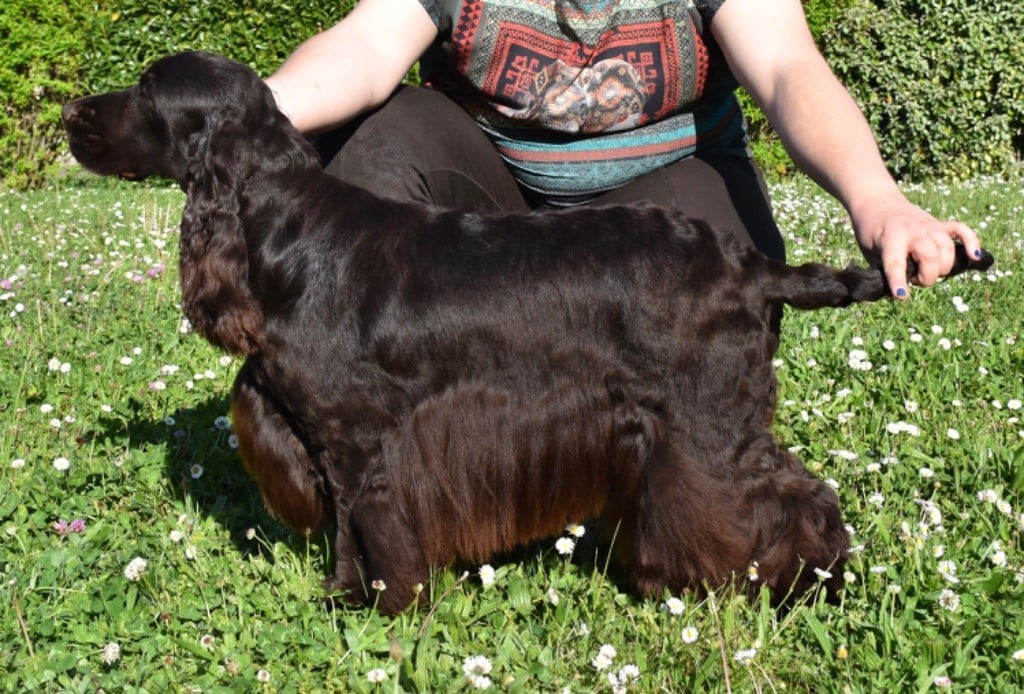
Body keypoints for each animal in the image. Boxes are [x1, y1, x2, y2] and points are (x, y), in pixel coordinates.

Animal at [63, 51, 993, 614]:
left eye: (147, 92)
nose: (72, 112)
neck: (282, 228)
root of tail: (756, 266)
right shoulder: (329, 439)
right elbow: (343, 532)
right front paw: (346, 602)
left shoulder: (364, 441)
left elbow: (370, 530)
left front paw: (380, 610)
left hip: (709, 420)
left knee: (796, 495)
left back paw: (810, 584)